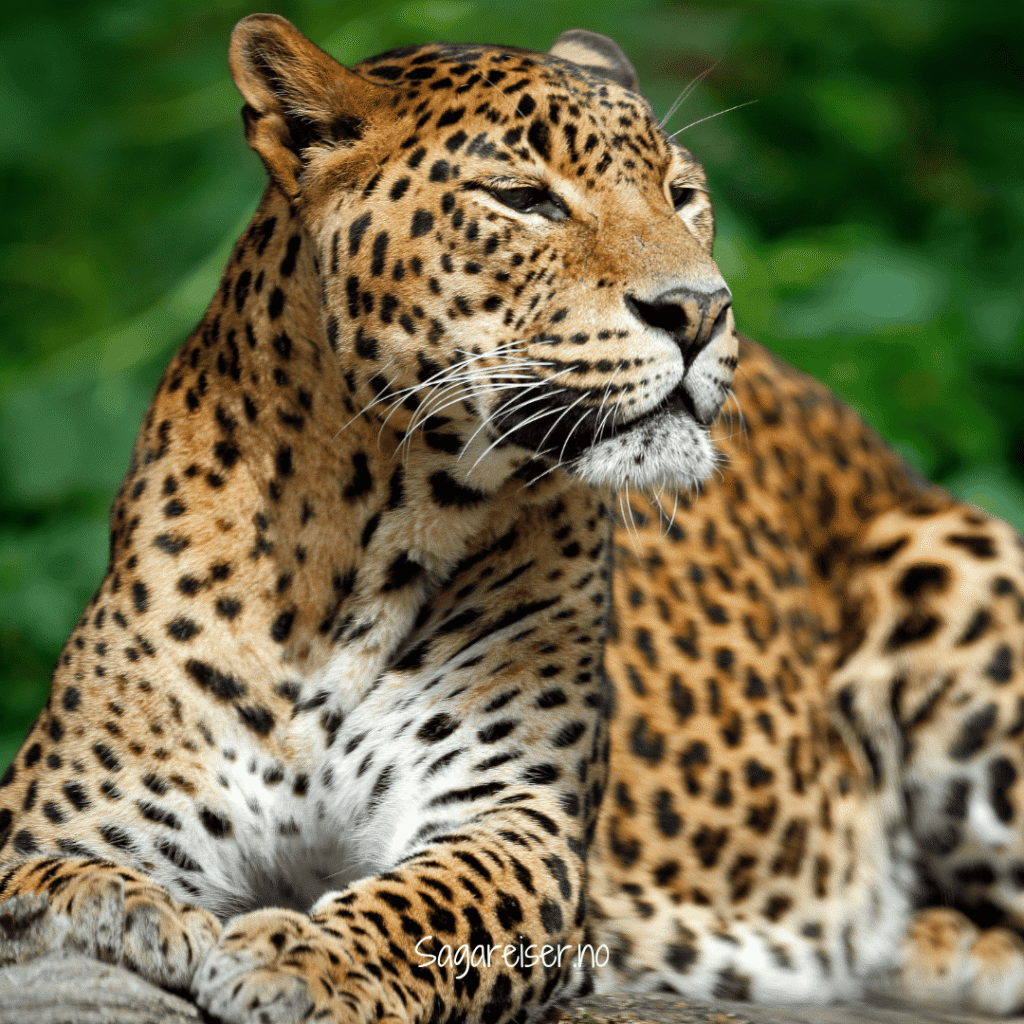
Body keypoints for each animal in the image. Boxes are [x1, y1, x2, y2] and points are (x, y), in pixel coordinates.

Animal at [2, 13, 1024, 1024]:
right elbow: (51, 884)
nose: (700, 310)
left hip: (950, 558)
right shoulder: (65, 813)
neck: (356, 544)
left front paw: (305, 957)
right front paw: (132, 913)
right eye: (525, 199)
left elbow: (424, 910)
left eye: (683, 195)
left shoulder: (514, 819)